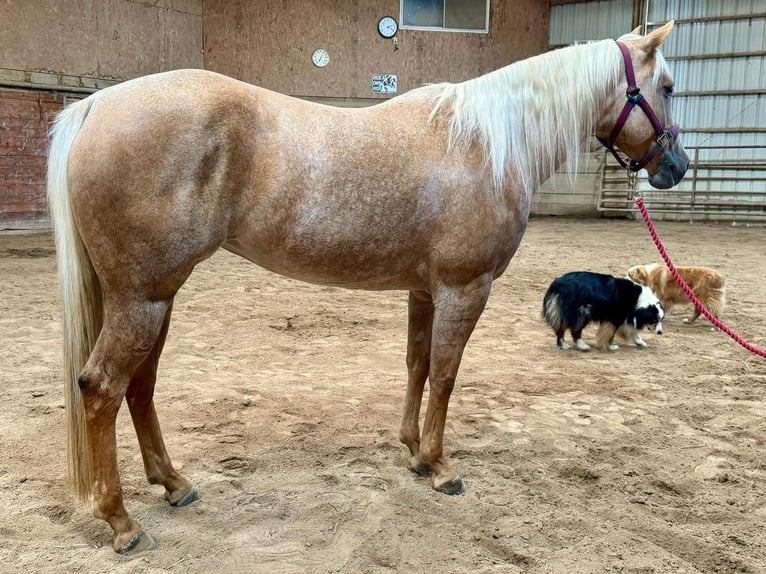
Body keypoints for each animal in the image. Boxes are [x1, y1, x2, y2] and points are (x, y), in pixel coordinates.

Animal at [45, 21, 688, 552]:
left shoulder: (425, 291)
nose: (677, 166)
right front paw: (441, 466)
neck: (484, 143)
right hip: (142, 300)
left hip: (156, 297)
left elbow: (418, 365)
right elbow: (446, 374)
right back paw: (123, 524)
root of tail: (98, 106)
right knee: (102, 388)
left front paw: (412, 452)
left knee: (140, 386)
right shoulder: (465, 289)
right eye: (668, 87)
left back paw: (174, 485)